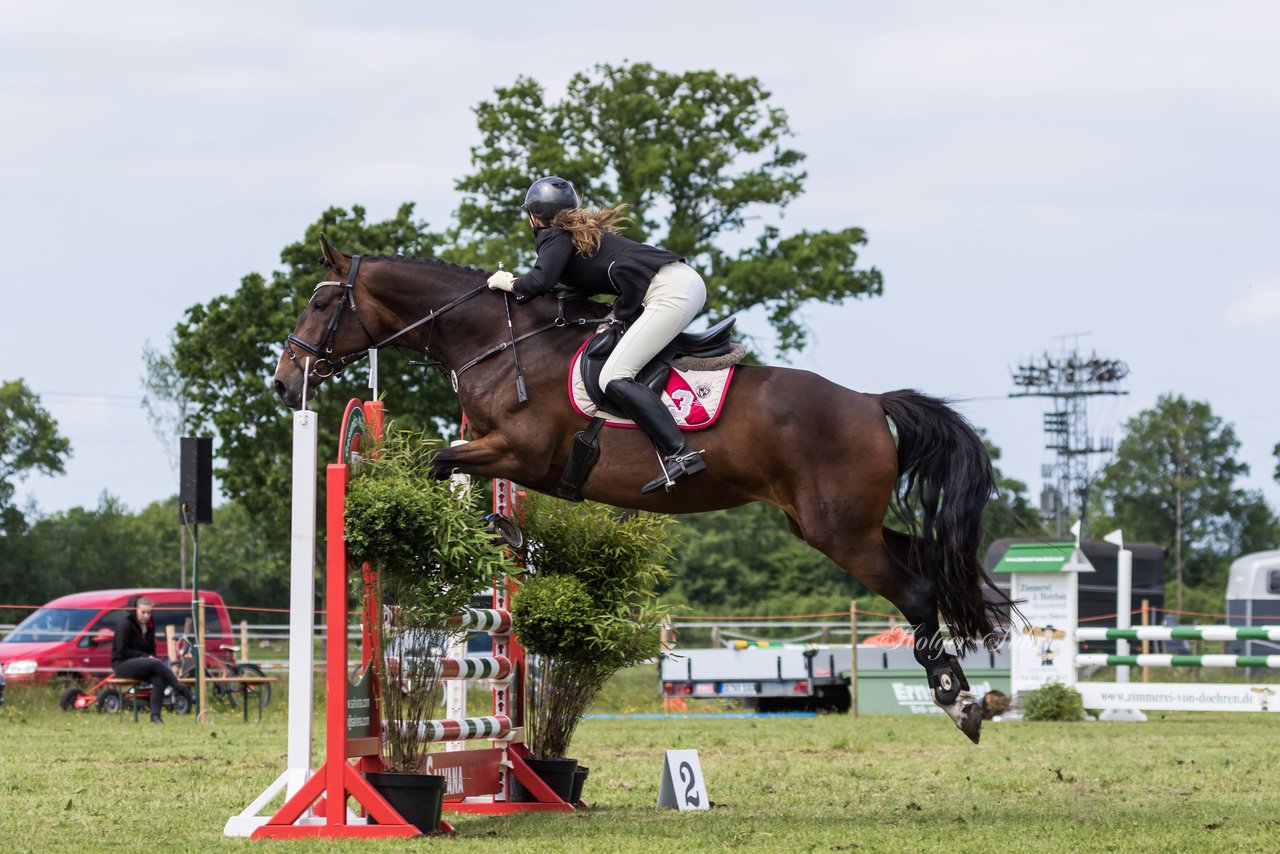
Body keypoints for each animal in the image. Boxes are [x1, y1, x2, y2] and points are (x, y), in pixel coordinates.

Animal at [275, 236, 1013, 742]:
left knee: (915, 590)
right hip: (834, 523)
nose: (286, 382)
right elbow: (455, 470)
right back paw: (970, 686)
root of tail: (869, 403)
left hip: (839, 532)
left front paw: (483, 535)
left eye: (321, 301)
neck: (498, 343)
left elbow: (437, 461)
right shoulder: (501, 454)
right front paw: (503, 534)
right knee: (929, 564)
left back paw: (959, 700)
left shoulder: (520, 451)